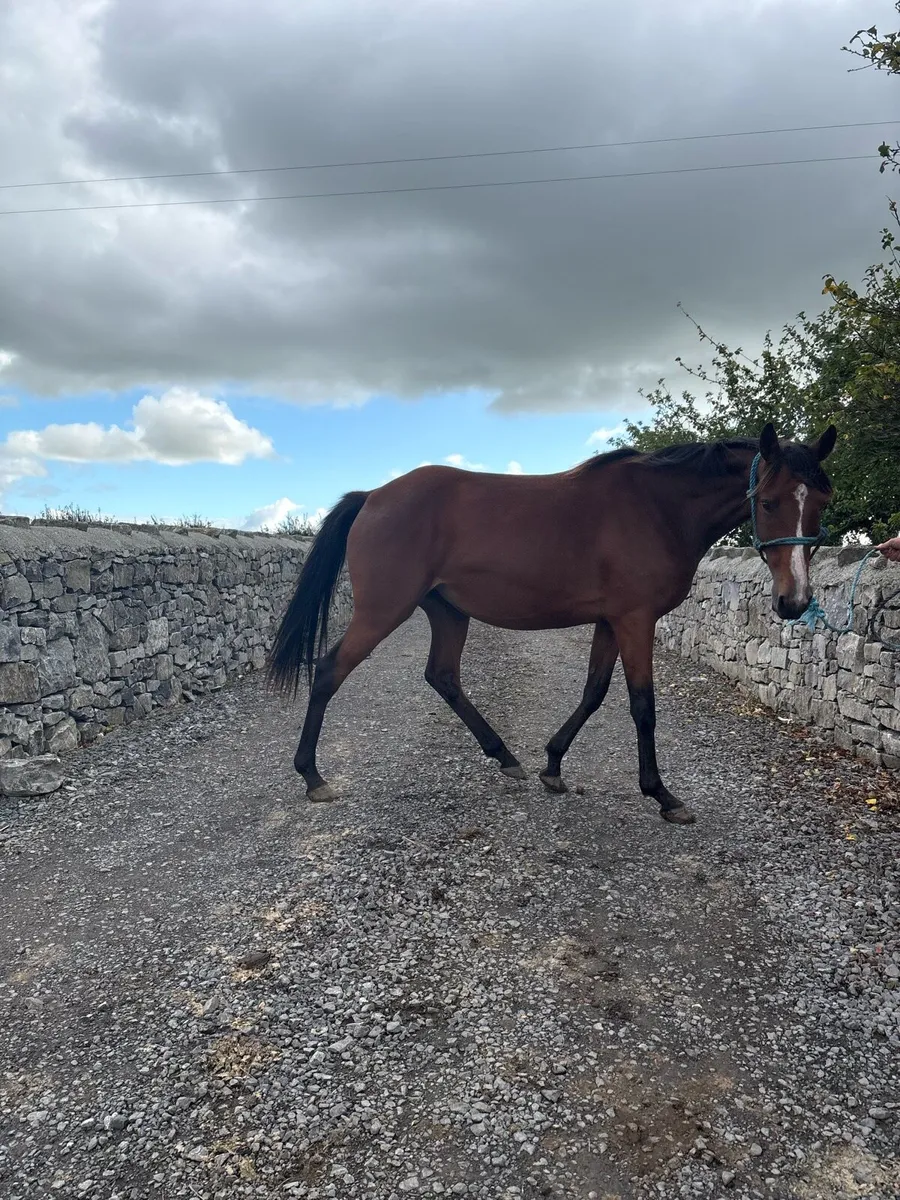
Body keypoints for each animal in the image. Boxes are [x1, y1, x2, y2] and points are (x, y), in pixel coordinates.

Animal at [269, 421, 836, 824]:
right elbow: (642, 706)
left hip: (448, 612)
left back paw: (504, 755)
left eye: (820, 503)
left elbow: (594, 692)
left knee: (443, 676)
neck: (658, 507)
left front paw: (553, 765)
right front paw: (662, 794)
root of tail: (373, 497)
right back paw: (312, 775)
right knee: (329, 672)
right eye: (768, 501)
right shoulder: (635, 620)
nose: (794, 601)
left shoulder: (611, 621)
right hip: (383, 611)